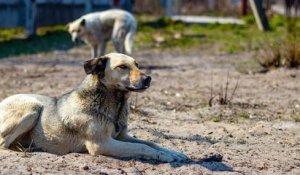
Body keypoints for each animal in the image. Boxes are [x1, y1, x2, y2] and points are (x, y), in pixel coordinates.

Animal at [0, 52, 188, 162]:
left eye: (137, 65)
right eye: (122, 67)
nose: (148, 78)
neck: (115, 104)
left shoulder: (121, 137)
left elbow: (150, 143)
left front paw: (173, 152)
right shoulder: (101, 144)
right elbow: (141, 147)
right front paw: (165, 156)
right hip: (32, 108)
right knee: (3, 144)